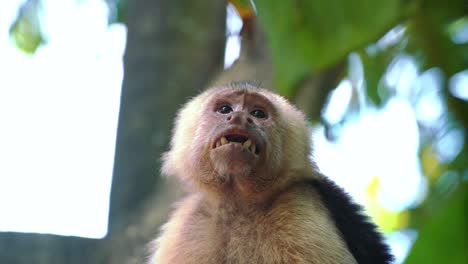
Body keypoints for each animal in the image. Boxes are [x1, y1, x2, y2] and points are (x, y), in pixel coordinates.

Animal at [149, 81, 392, 262]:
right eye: (225, 109)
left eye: (258, 113)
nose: (239, 117)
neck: (238, 203)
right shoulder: (187, 226)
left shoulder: (299, 208)